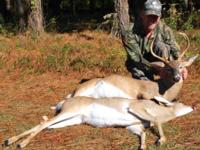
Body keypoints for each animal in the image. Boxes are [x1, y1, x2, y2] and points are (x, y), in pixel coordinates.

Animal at [3, 96, 193, 149]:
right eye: (180, 101)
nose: (193, 105)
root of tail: (65, 101)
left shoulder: (134, 126)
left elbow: (144, 132)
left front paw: (143, 146)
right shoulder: (136, 109)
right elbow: (155, 121)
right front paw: (161, 140)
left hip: (71, 120)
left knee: (44, 125)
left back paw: (10, 140)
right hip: (68, 113)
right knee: (43, 124)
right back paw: (20, 144)